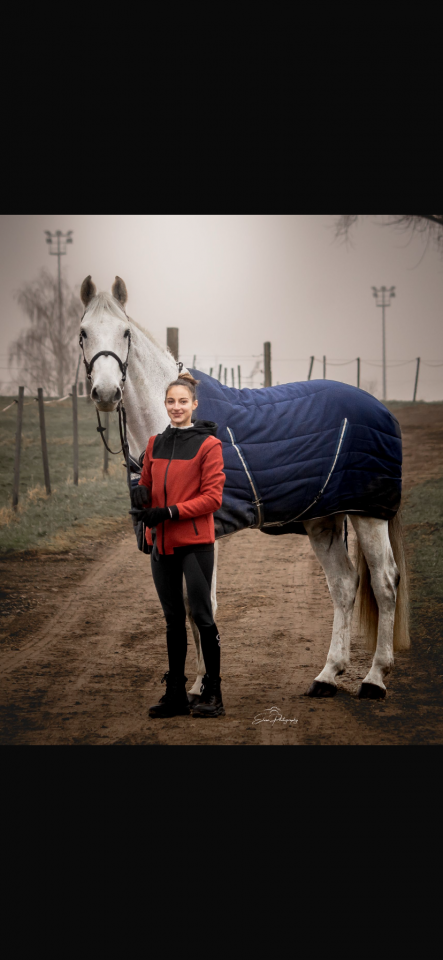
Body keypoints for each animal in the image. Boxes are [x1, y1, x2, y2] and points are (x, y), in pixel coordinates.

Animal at [79, 276, 410, 702]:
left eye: (126, 333)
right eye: (83, 333)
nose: (105, 393)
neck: (176, 431)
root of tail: (381, 409)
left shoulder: (205, 535)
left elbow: (201, 605)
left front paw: (203, 685)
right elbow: (183, 607)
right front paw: (192, 685)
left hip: (369, 514)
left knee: (384, 584)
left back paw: (374, 679)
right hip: (323, 519)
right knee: (344, 584)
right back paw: (327, 676)